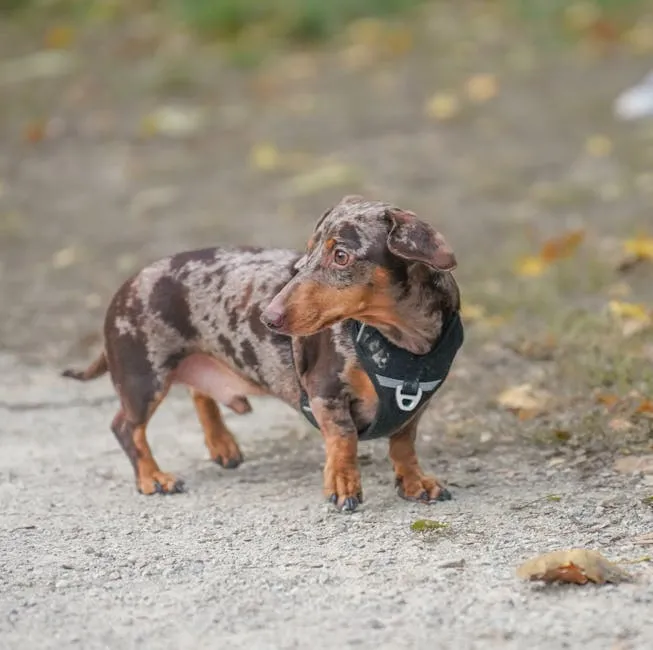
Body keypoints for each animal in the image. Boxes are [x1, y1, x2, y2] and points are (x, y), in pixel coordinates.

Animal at [63, 195, 460, 508]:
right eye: (308, 250)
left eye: (341, 256)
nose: (268, 317)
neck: (401, 341)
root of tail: (128, 285)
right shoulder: (325, 390)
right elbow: (343, 438)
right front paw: (342, 483)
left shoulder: (415, 405)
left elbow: (403, 443)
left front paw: (414, 482)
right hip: (144, 379)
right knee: (126, 428)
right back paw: (153, 477)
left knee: (197, 394)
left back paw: (221, 444)